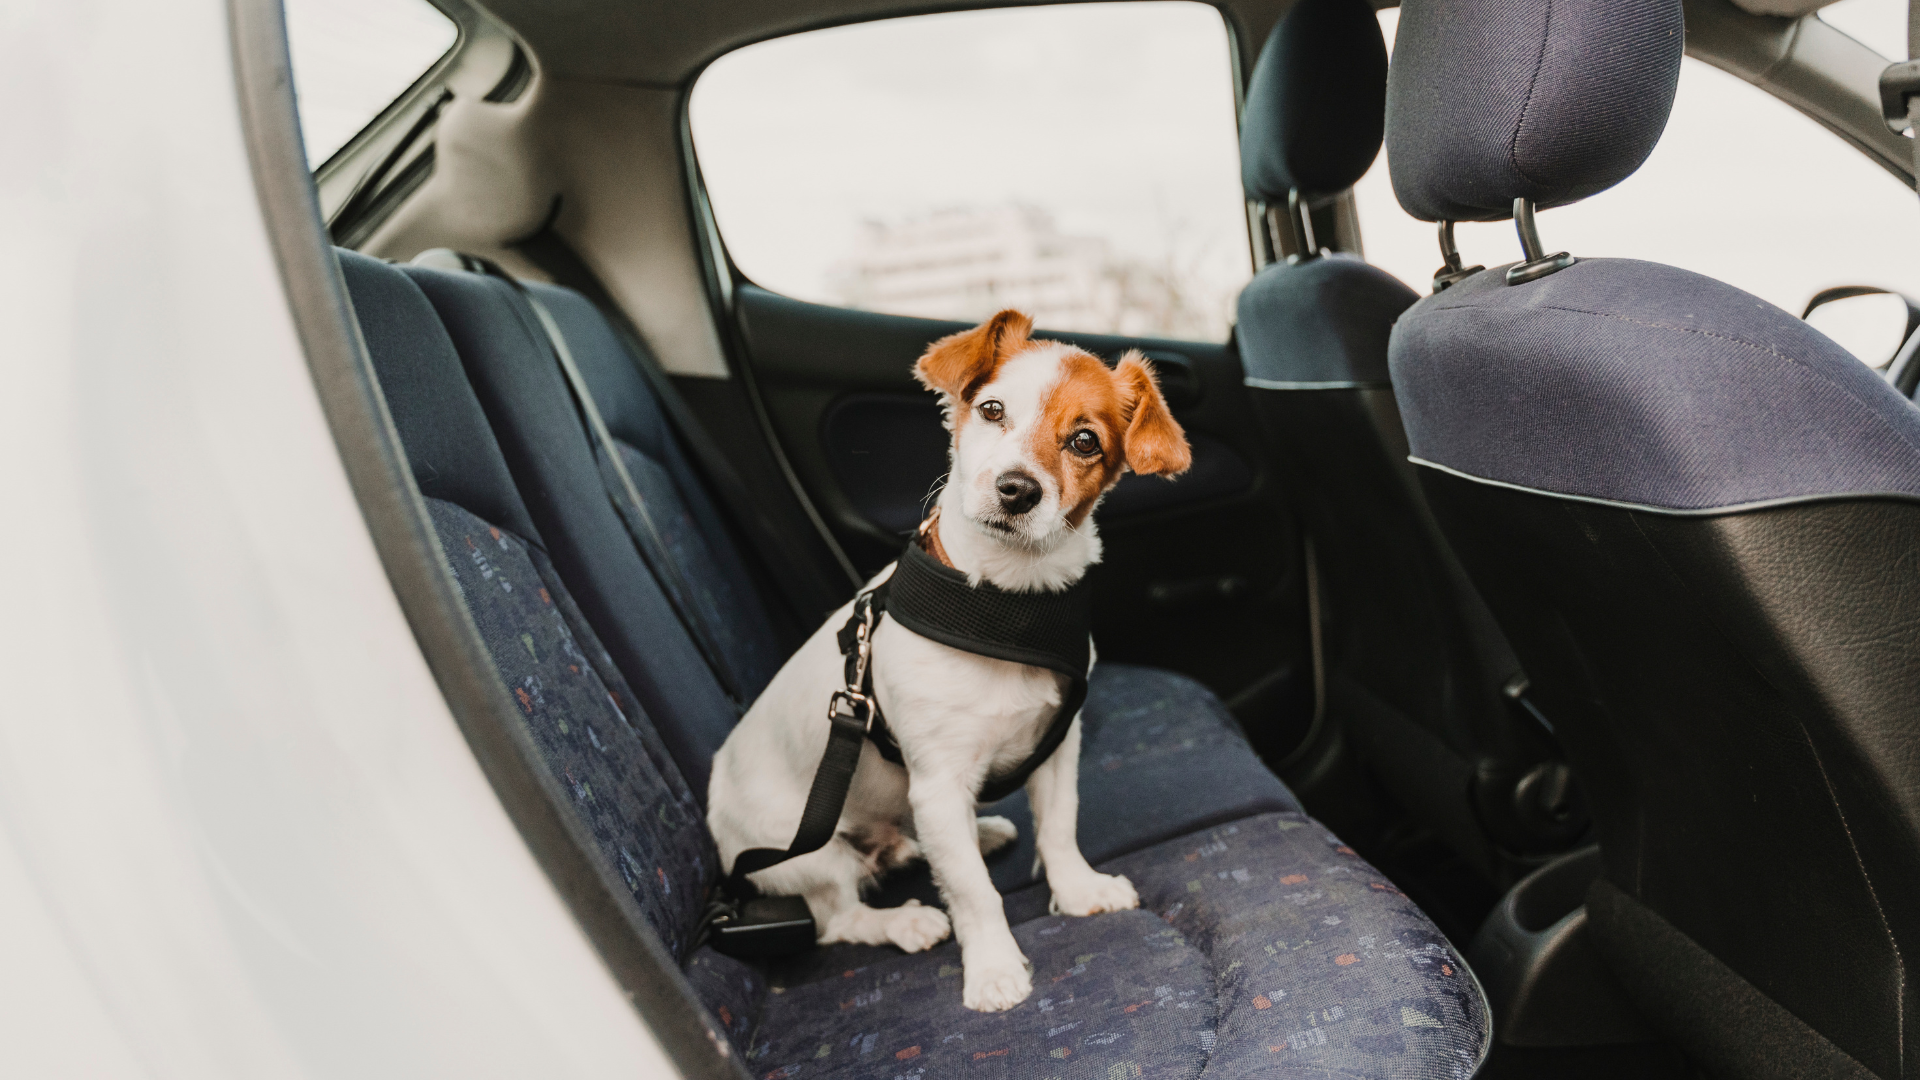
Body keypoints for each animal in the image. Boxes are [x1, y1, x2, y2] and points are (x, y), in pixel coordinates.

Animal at [710, 305, 1182, 1006]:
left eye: (1085, 441)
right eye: (991, 409)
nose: (1016, 489)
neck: (1005, 606)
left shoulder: (1056, 746)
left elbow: (1059, 826)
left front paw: (1076, 890)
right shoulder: (936, 781)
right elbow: (972, 893)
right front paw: (992, 968)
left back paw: (972, 835)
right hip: (806, 853)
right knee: (839, 916)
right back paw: (904, 921)